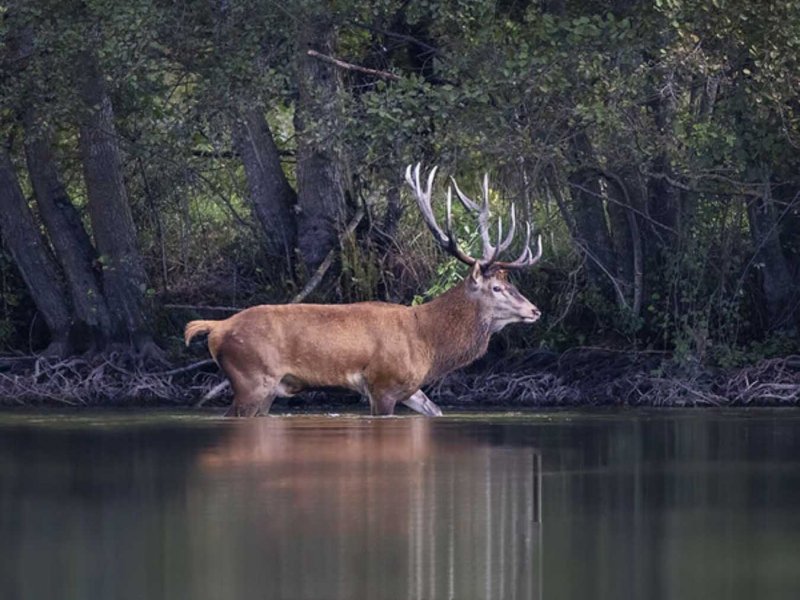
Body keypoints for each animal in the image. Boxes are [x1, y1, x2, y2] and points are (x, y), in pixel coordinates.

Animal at [184, 163, 543, 417]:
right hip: (252, 378)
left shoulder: (410, 387)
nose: (535, 310)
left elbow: (436, 410)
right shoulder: (382, 383)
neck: (428, 342)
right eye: (497, 287)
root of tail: (216, 327)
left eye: (510, 284)